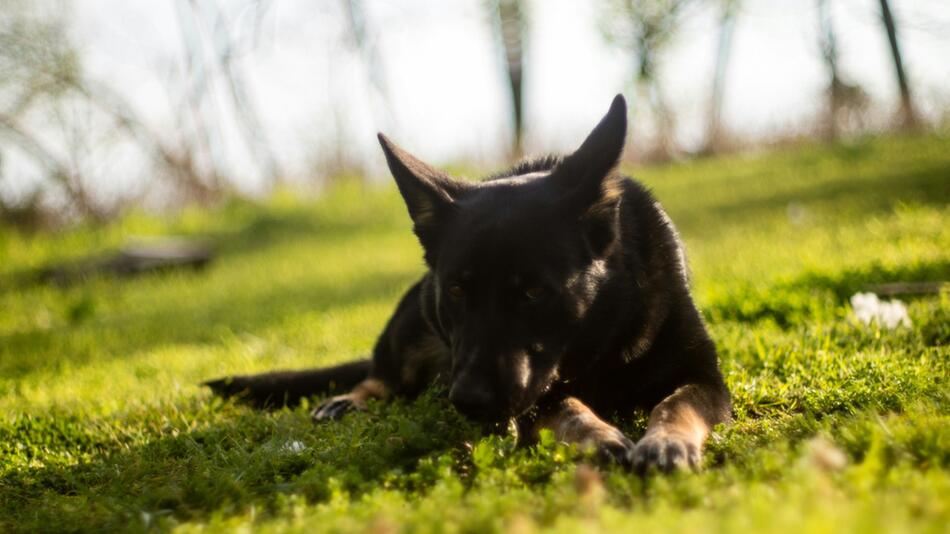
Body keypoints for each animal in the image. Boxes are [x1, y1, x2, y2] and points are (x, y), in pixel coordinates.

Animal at [205, 95, 732, 474]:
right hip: (411, 318)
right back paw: (350, 399)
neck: (600, 337)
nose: (468, 401)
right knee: (381, 375)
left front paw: (664, 443)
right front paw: (600, 437)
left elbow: (677, 405)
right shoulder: (535, 393)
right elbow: (568, 409)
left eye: (534, 292)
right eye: (457, 291)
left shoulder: (704, 376)